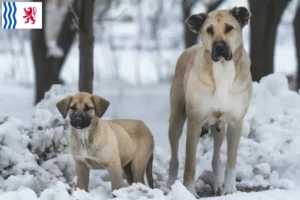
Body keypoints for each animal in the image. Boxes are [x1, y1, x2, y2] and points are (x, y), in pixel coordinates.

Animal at [168, 7, 252, 198]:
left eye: (229, 28)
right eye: (209, 30)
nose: (219, 47)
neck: (222, 70)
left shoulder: (236, 123)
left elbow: (231, 162)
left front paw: (230, 189)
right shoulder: (194, 122)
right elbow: (190, 163)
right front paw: (189, 191)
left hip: (220, 128)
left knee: (216, 156)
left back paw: (218, 183)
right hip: (176, 120)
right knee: (175, 158)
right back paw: (170, 185)